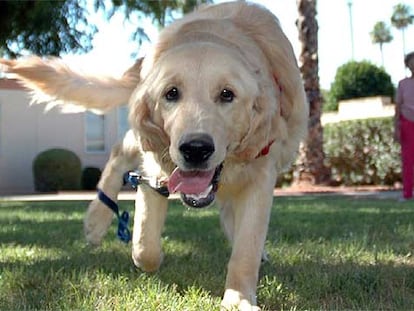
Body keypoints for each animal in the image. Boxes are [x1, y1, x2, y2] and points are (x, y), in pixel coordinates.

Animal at [0, 1, 308, 310]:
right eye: (171, 93)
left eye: (227, 94)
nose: (195, 149)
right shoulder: (155, 167)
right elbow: (144, 241)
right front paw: (150, 258)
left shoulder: (261, 175)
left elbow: (246, 248)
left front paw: (238, 298)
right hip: (140, 137)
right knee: (119, 151)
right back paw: (96, 220)